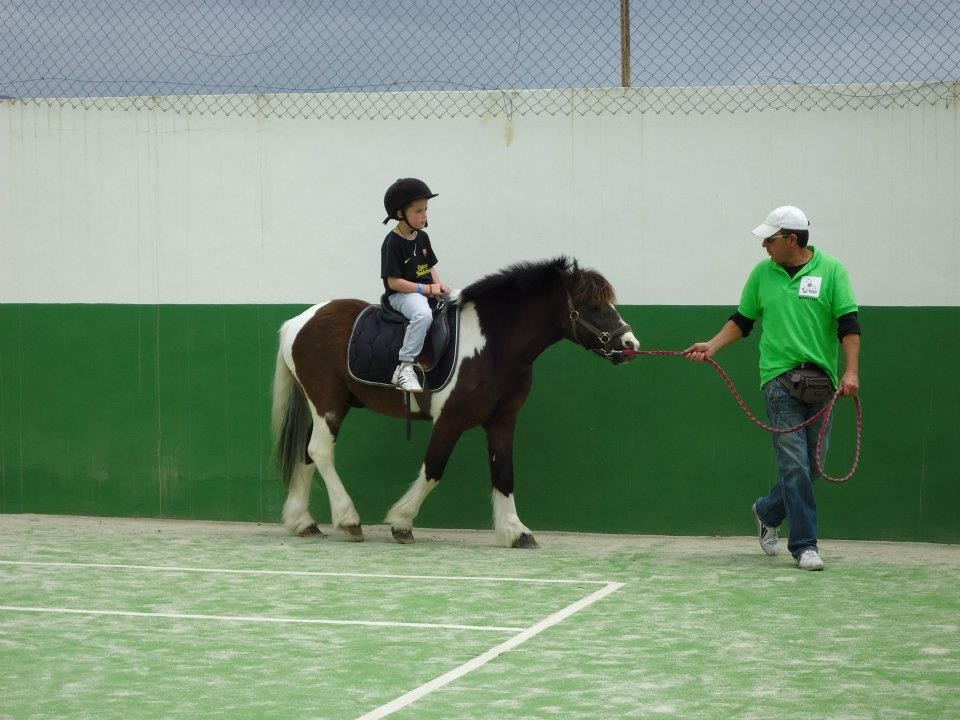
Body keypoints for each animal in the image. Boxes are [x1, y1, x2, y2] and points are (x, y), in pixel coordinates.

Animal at [272, 256, 636, 548]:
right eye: (592, 305)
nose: (630, 344)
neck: (494, 345)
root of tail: (299, 321)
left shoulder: (503, 419)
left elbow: (504, 473)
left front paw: (516, 531)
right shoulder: (451, 419)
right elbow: (434, 469)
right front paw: (401, 523)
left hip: (332, 404)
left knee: (307, 453)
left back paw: (303, 522)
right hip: (327, 402)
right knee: (320, 450)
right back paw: (348, 519)